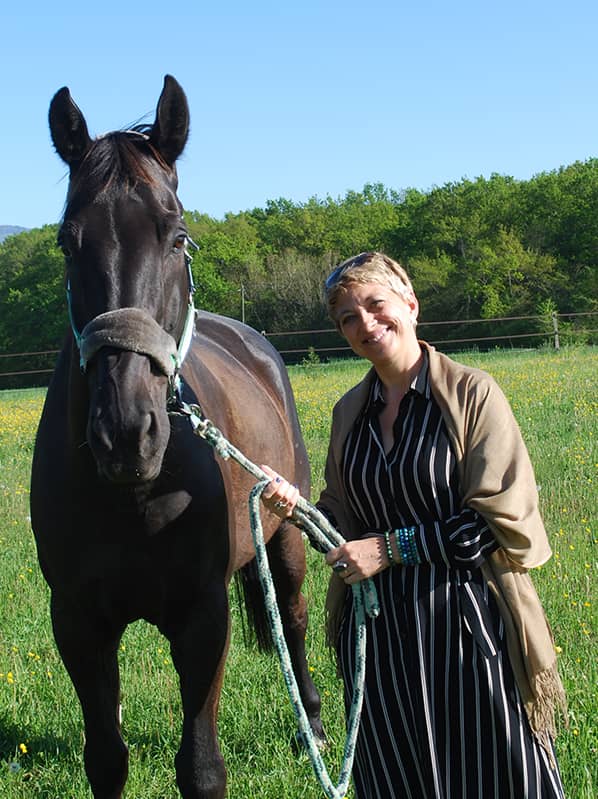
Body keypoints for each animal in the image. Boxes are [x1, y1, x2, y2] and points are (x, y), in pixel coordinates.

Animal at [29, 76, 324, 799]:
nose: (125, 432)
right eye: (66, 242)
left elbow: (201, 769)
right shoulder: (78, 621)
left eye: (177, 235)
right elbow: (106, 759)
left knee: (294, 620)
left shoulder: (202, 617)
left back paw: (313, 726)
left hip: (286, 536)